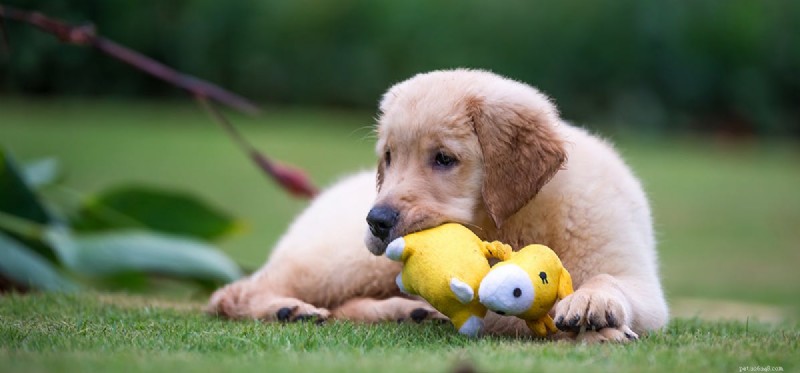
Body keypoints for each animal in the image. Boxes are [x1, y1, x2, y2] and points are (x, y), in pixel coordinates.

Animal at [208, 68, 668, 342]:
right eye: (389, 156)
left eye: (444, 159)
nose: (376, 221)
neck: (515, 222)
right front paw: (597, 331)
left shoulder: (640, 282)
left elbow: (607, 281)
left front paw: (593, 306)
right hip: (344, 260)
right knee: (231, 293)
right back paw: (289, 310)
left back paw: (403, 312)